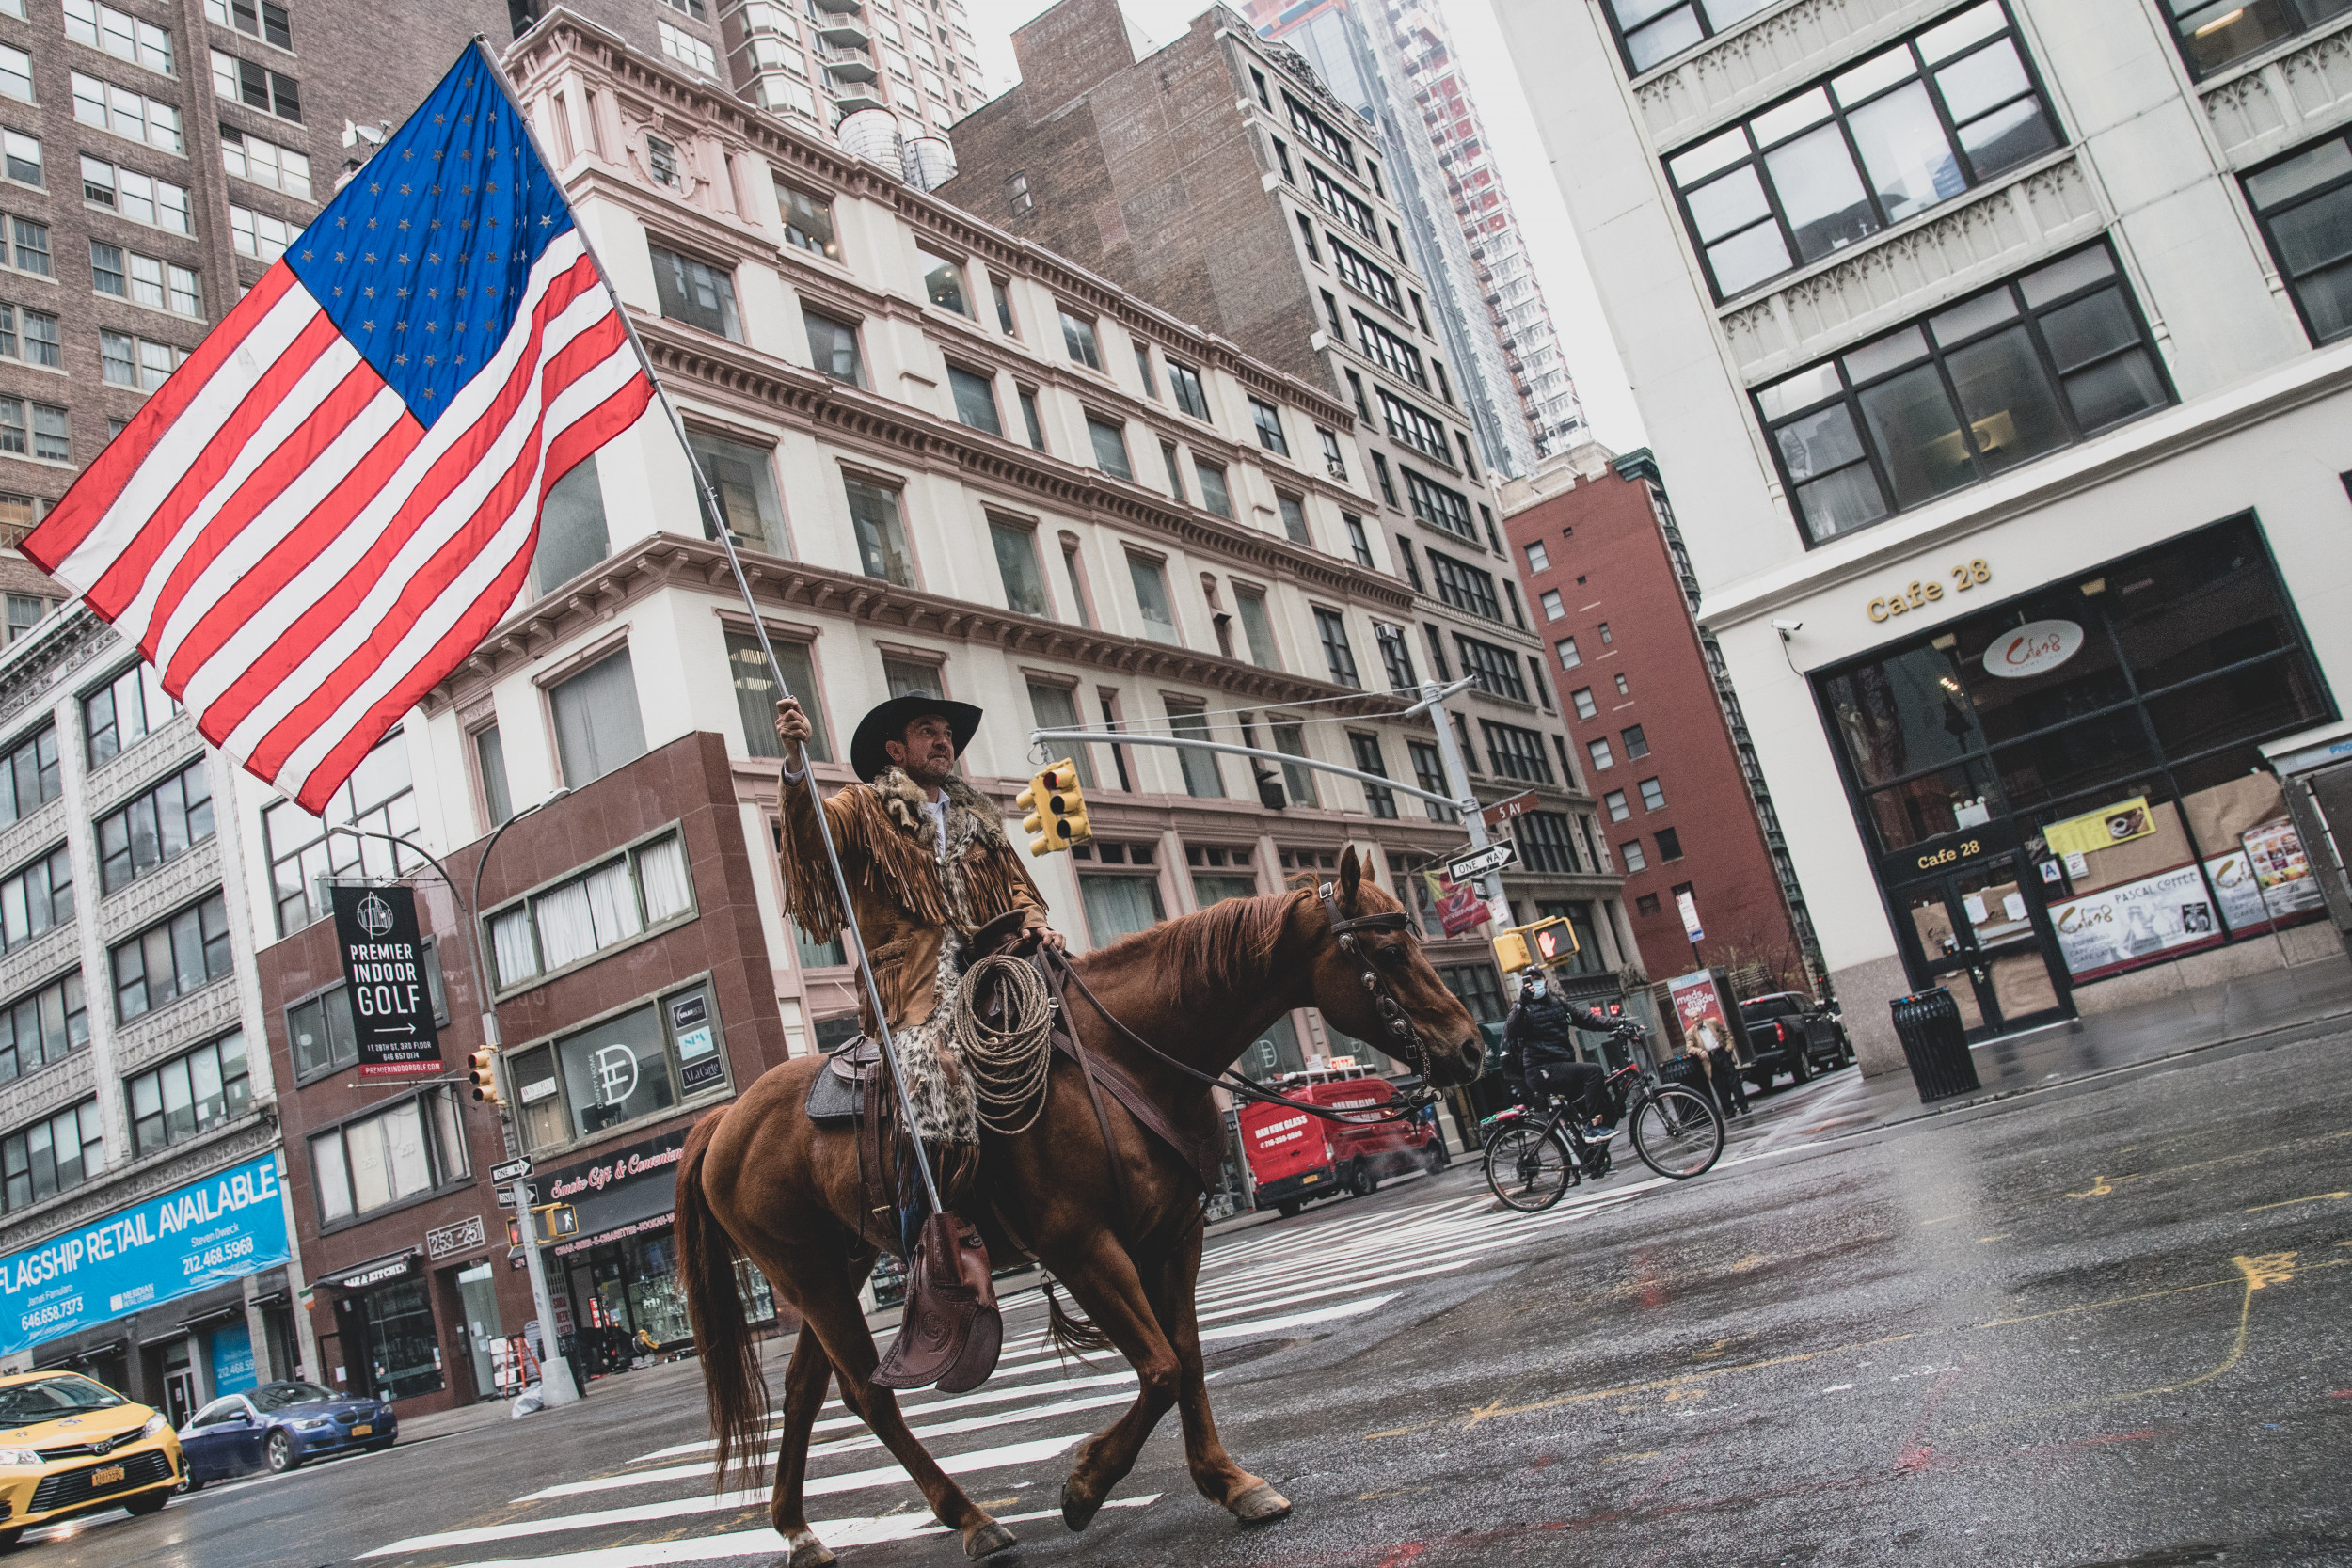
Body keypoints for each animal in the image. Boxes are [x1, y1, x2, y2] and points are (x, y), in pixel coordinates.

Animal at [673, 850, 1477, 1560]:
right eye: (1390, 949)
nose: (1470, 1048)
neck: (1131, 1054)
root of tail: (723, 1119)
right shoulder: (1084, 1246)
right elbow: (1159, 1367)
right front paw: (1086, 1484)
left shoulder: (1175, 1235)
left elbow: (1188, 1359)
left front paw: (1229, 1482)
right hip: (808, 1275)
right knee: (868, 1395)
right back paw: (972, 1520)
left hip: (839, 1265)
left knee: (804, 1390)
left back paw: (799, 1530)